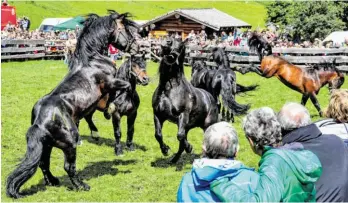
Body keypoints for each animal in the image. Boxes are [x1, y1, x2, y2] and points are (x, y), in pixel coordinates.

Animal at [5, 11, 139, 198]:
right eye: (125, 30)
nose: (135, 47)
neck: (93, 60)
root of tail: (40, 123)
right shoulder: (110, 83)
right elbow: (122, 88)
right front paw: (110, 108)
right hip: (69, 143)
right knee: (68, 167)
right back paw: (81, 186)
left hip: (47, 144)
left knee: (43, 163)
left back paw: (53, 181)